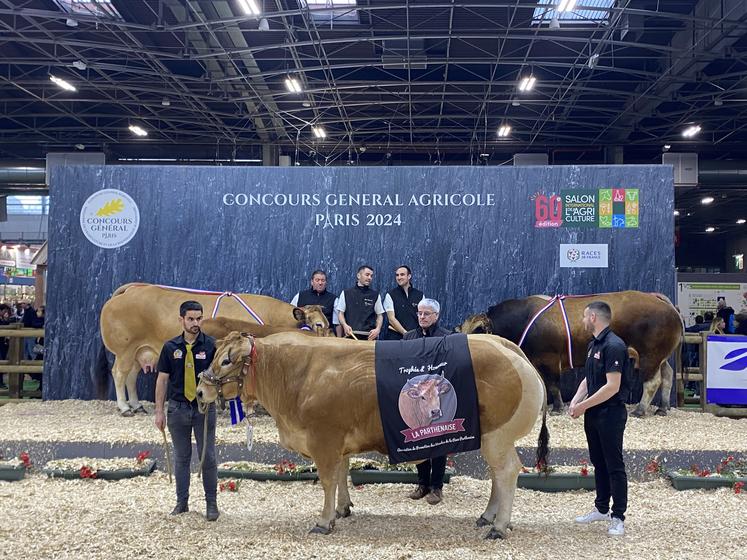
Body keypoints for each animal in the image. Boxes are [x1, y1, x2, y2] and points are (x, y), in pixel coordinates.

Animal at [95, 284, 328, 416]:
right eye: (318, 324)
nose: (331, 338)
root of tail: (130, 290)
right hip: (125, 350)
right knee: (119, 374)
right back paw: (125, 408)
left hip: (138, 351)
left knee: (131, 377)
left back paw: (136, 405)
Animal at [199, 332, 548, 540]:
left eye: (226, 360)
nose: (201, 390)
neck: (294, 375)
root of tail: (506, 346)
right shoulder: (337, 441)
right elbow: (342, 475)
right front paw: (342, 509)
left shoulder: (323, 439)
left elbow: (328, 480)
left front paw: (324, 521)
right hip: (492, 439)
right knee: (497, 475)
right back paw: (487, 516)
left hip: (497, 437)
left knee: (507, 472)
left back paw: (498, 526)